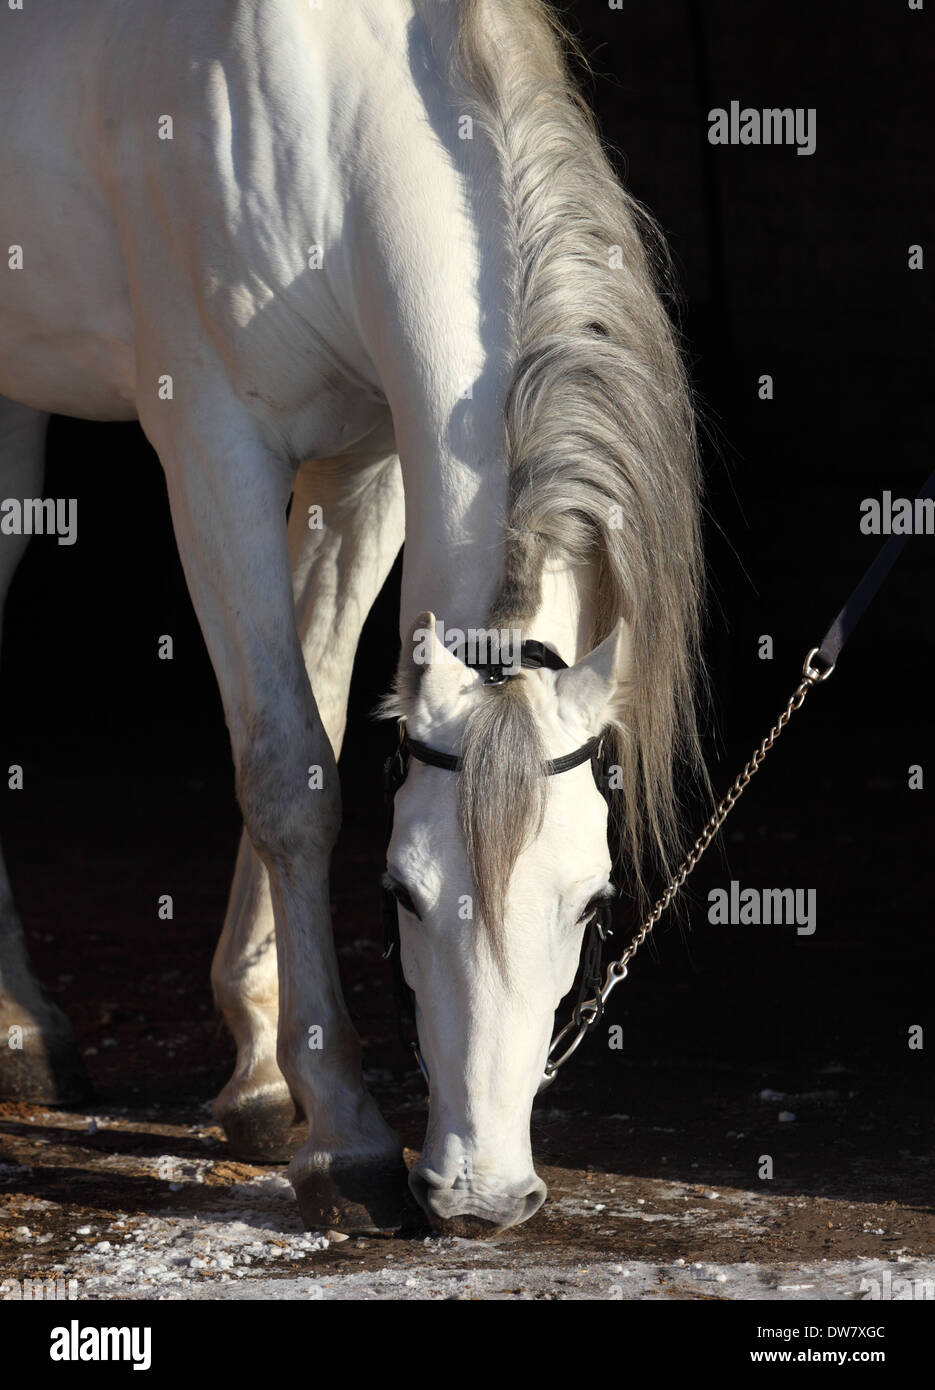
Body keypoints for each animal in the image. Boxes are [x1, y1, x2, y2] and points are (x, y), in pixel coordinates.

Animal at [0, 0, 700, 1234]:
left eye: (592, 902)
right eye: (400, 894)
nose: (479, 1196)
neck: (325, 102)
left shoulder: (363, 460)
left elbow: (319, 714)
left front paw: (261, 1074)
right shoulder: (212, 450)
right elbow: (287, 775)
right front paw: (342, 1131)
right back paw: (23, 1023)